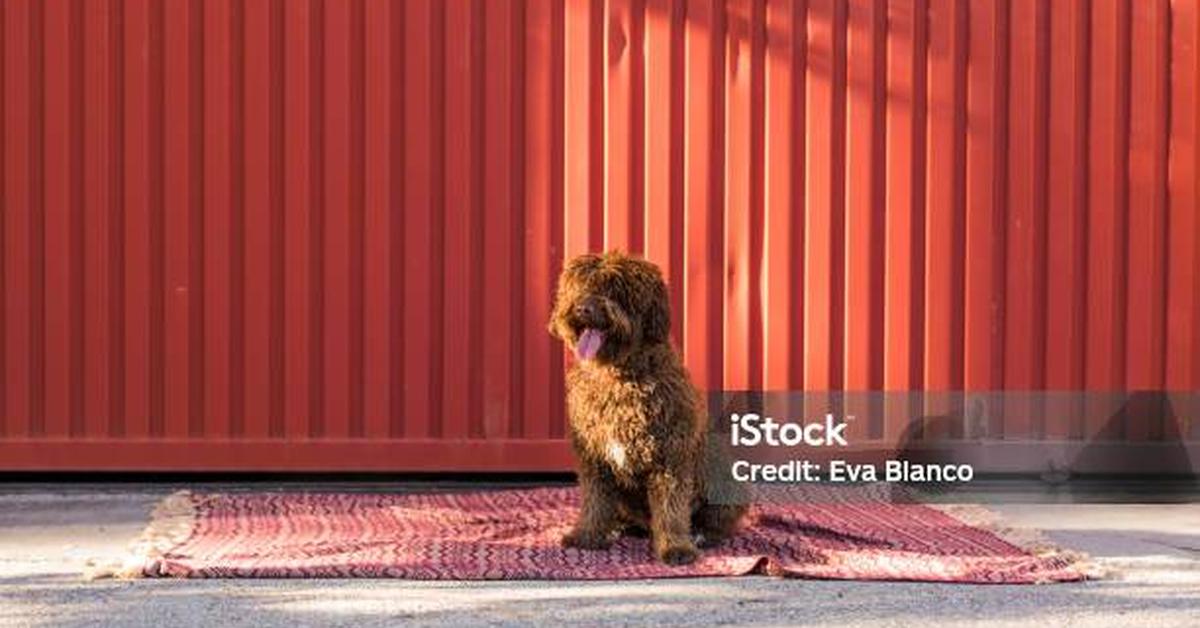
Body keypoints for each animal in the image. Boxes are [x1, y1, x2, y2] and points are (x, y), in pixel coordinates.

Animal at [549, 250, 744, 564]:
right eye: (580, 286)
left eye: (616, 289)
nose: (583, 309)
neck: (618, 377)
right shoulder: (595, 459)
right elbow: (594, 501)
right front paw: (587, 535)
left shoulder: (670, 455)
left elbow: (671, 509)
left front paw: (676, 548)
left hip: (724, 477)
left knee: (718, 522)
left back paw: (701, 535)